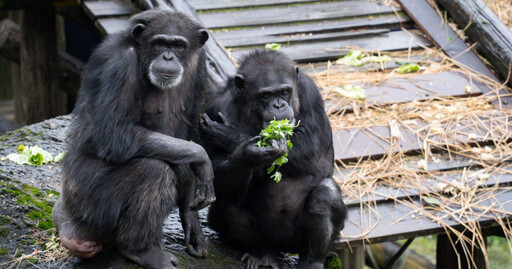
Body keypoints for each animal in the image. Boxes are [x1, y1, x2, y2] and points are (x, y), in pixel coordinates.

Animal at [50, 9, 214, 266]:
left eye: (179, 45)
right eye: (159, 43)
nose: (168, 57)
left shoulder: (200, 64)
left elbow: (189, 128)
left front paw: (192, 218)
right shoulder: (119, 64)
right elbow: (114, 133)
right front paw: (203, 161)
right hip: (88, 204)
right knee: (154, 171)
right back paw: (142, 251)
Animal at [200, 49, 348, 266]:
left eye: (285, 91)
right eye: (265, 95)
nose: (278, 105)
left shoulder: (311, 93)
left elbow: (314, 151)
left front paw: (228, 135)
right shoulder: (214, 105)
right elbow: (212, 166)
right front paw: (249, 154)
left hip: (296, 242)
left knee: (325, 195)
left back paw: (311, 261)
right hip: (268, 238)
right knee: (228, 205)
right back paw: (262, 254)